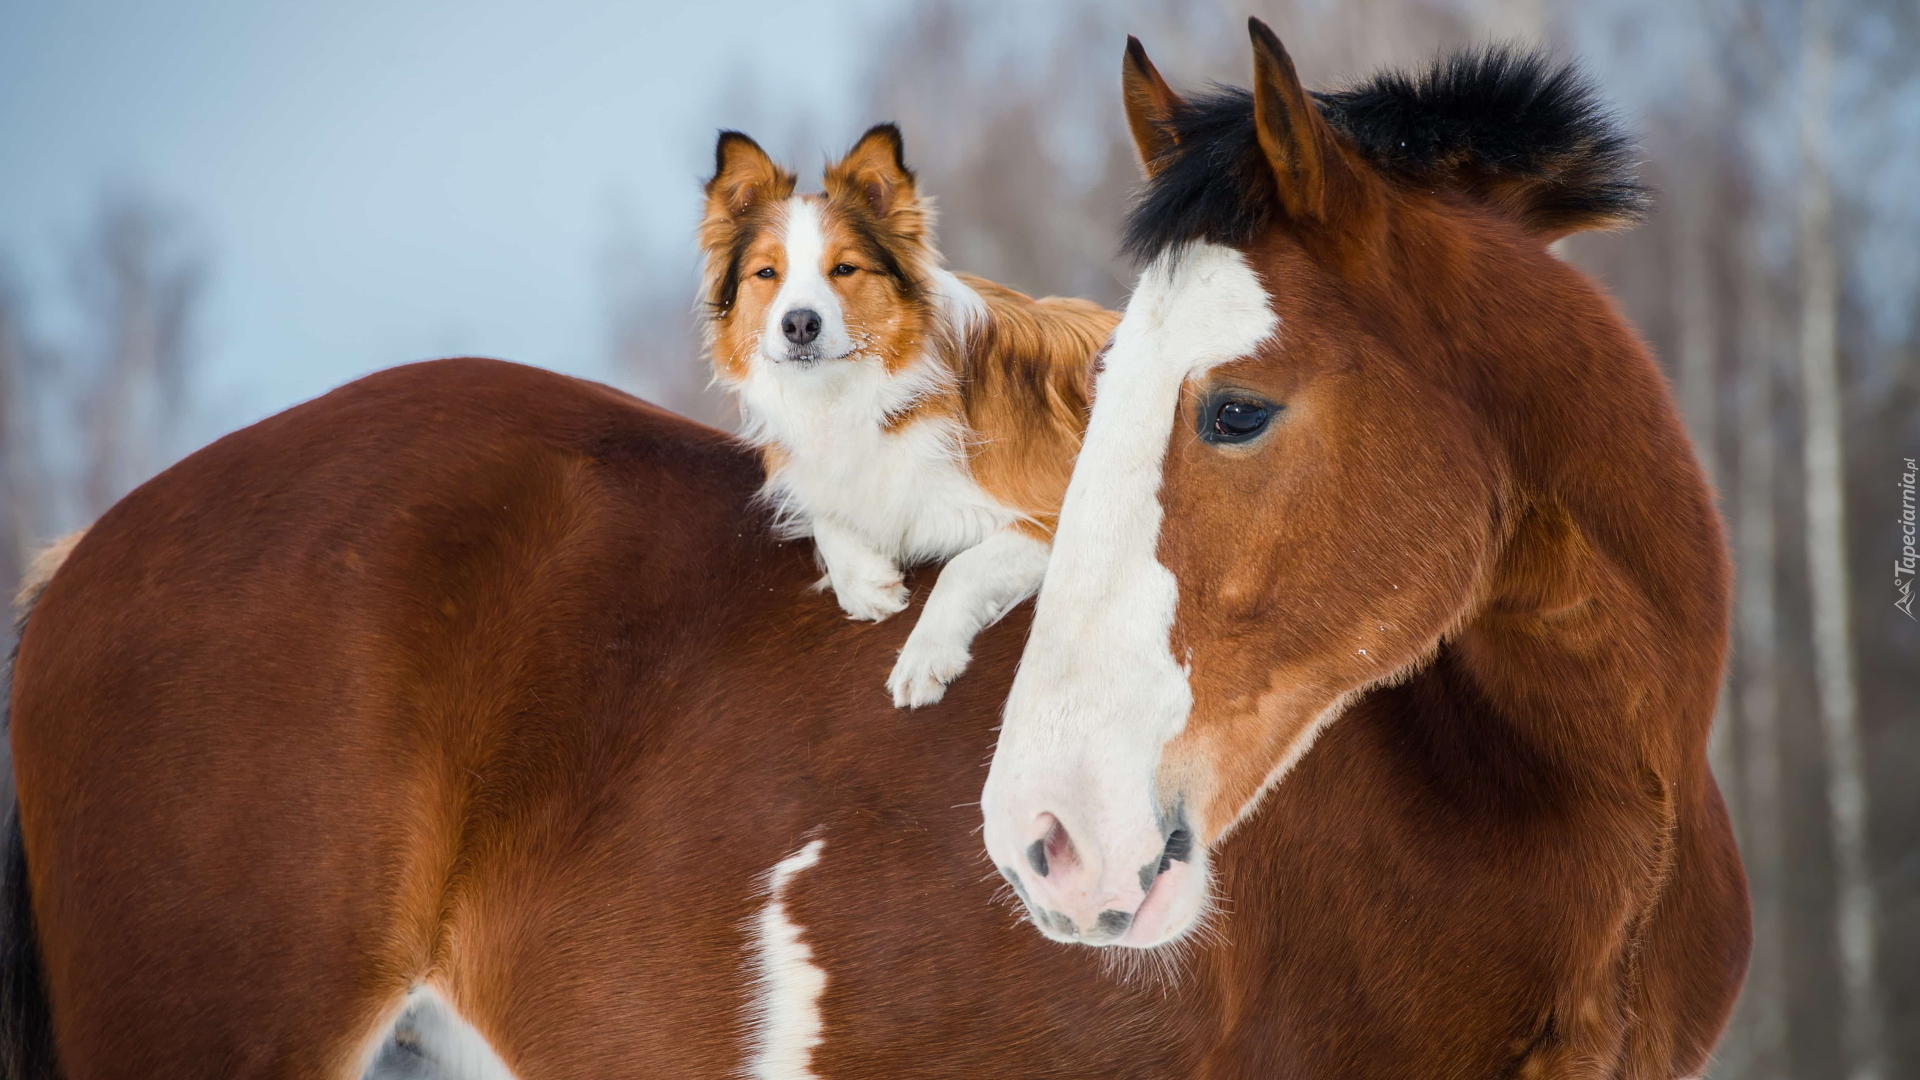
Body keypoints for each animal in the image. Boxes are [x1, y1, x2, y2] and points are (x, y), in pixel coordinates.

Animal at [698, 125, 1121, 707]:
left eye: (844, 268)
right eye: (767, 273)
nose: (799, 324)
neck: (857, 394)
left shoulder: (1056, 508)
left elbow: (961, 567)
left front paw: (924, 657)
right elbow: (829, 514)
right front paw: (864, 582)